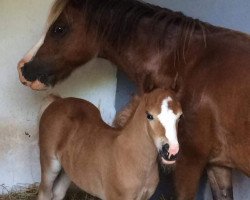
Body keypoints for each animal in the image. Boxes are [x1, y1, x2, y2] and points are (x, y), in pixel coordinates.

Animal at [37, 88, 182, 200]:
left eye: (180, 116)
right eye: (150, 115)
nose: (171, 152)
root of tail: (58, 101)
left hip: (69, 169)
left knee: (58, 192)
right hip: (50, 163)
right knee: (44, 193)